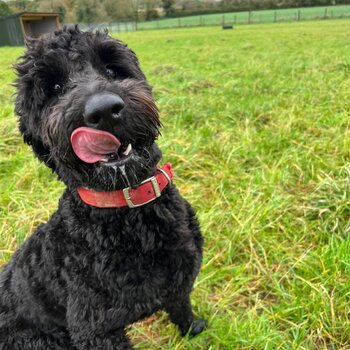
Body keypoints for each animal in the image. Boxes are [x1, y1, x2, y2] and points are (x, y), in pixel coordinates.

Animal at [0, 27, 205, 350]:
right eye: (54, 88)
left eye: (111, 69)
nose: (104, 110)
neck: (129, 212)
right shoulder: (96, 330)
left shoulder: (179, 280)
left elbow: (180, 304)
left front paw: (192, 329)